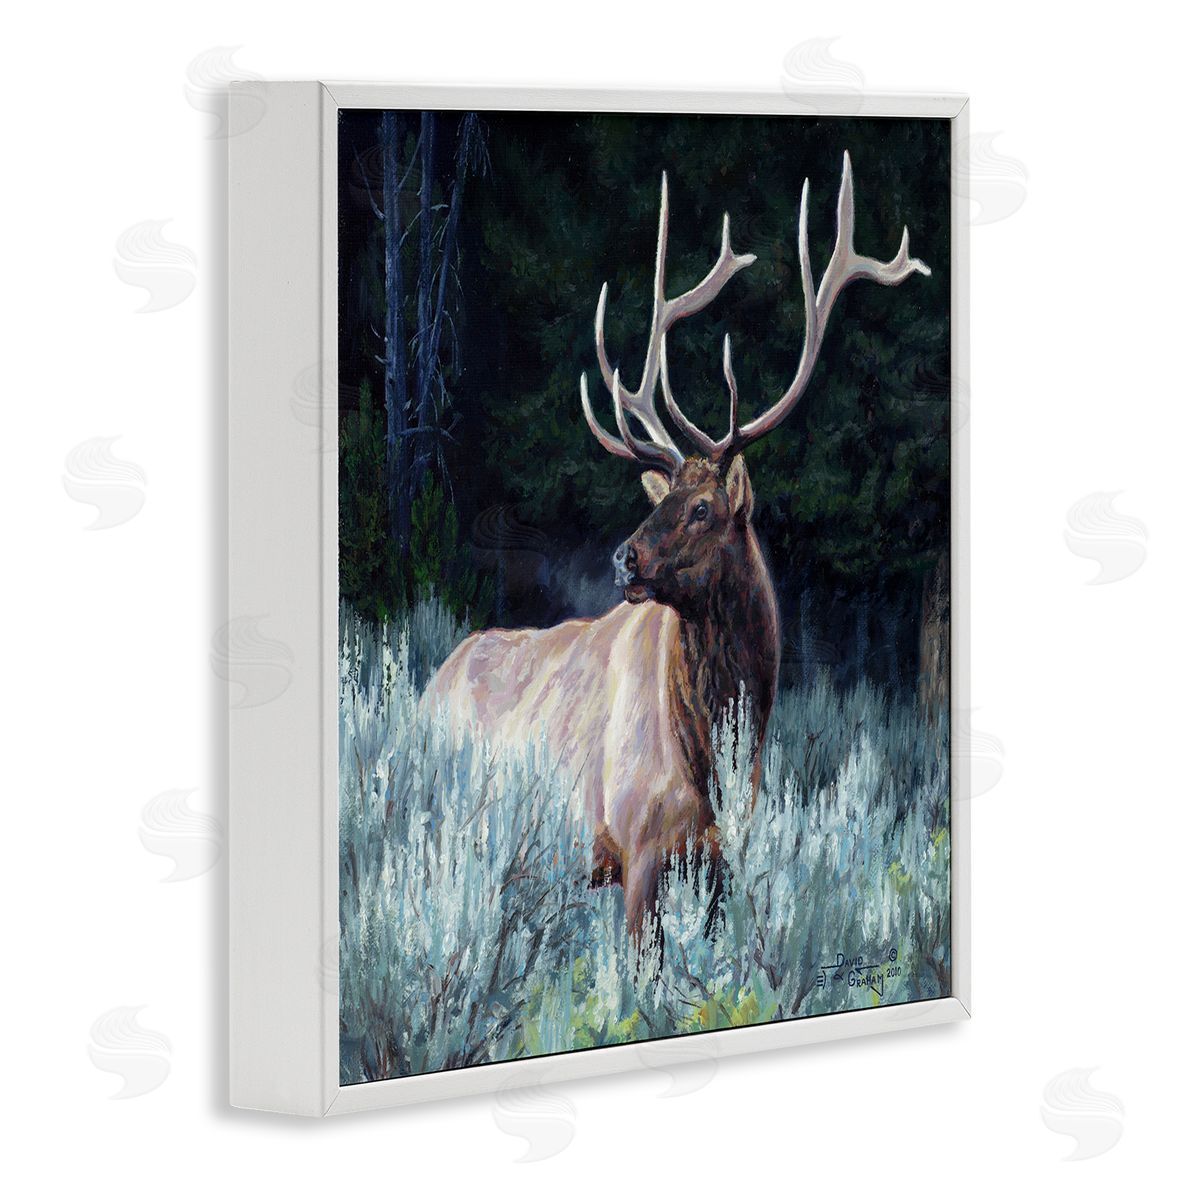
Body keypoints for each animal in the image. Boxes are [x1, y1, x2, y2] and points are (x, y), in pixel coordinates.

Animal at [424, 152, 929, 937]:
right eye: (662, 502)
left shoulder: (722, 864)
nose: (622, 557)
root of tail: (426, 688)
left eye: (701, 508)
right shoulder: (638, 851)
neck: (718, 759)